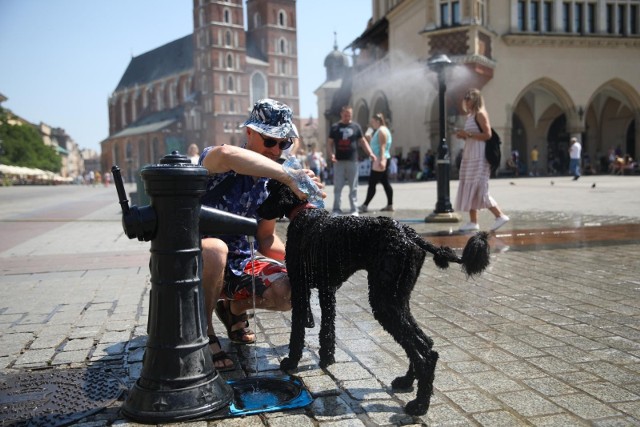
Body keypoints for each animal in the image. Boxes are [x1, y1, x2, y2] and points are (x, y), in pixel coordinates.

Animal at [255, 180, 490, 414]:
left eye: (270, 191)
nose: (258, 211)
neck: (304, 213)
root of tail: (409, 233)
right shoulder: (327, 290)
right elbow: (327, 330)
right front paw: (327, 359)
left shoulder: (300, 288)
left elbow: (297, 331)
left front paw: (291, 362)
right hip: (397, 298)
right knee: (424, 343)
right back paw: (407, 381)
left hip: (383, 302)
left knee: (425, 353)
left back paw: (420, 404)